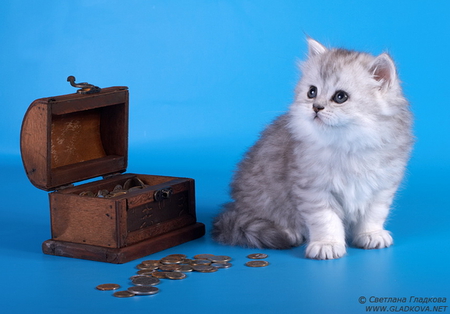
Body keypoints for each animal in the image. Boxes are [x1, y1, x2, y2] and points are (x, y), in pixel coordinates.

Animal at [213, 38, 414, 258]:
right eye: (312, 92)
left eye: (340, 97)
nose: (316, 107)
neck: (349, 145)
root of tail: (235, 206)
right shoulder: (313, 189)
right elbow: (326, 220)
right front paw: (327, 244)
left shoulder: (382, 186)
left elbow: (374, 214)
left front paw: (371, 234)